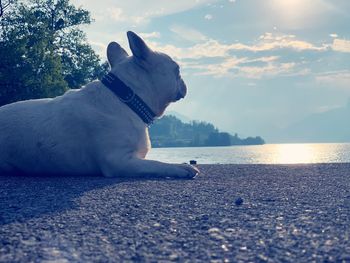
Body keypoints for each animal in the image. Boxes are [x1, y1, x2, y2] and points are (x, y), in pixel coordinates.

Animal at [0, 31, 198, 179]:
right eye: (177, 70)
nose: (183, 82)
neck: (126, 99)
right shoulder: (119, 161)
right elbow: (156, 164)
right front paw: (181, 168)